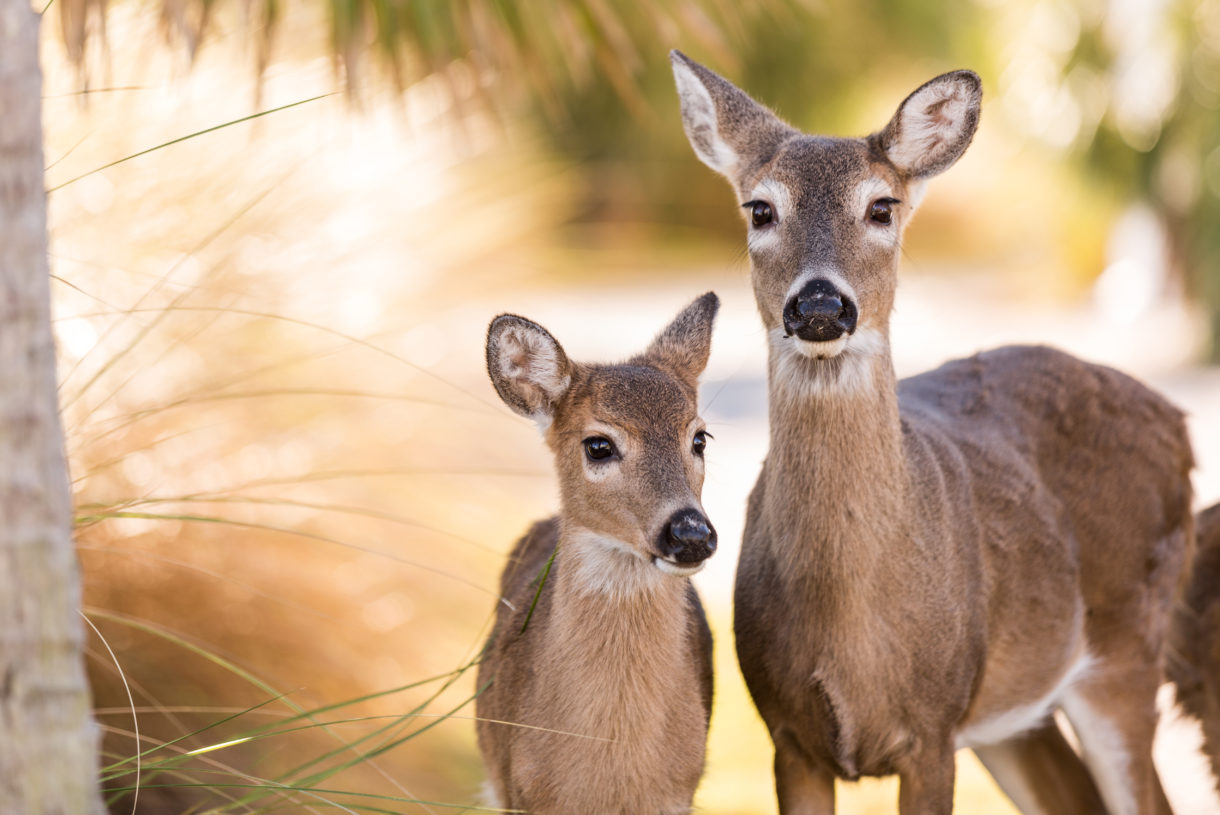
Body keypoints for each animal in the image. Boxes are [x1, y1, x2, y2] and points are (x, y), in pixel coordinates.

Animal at [668, 52, 1190, 815]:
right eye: (760, 209)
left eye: (882, 206)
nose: (819, 304)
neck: (850, 620)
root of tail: (1179, 423)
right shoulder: (788, 735)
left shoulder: (935, 726)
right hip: (1017, 716)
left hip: (1126, 654)